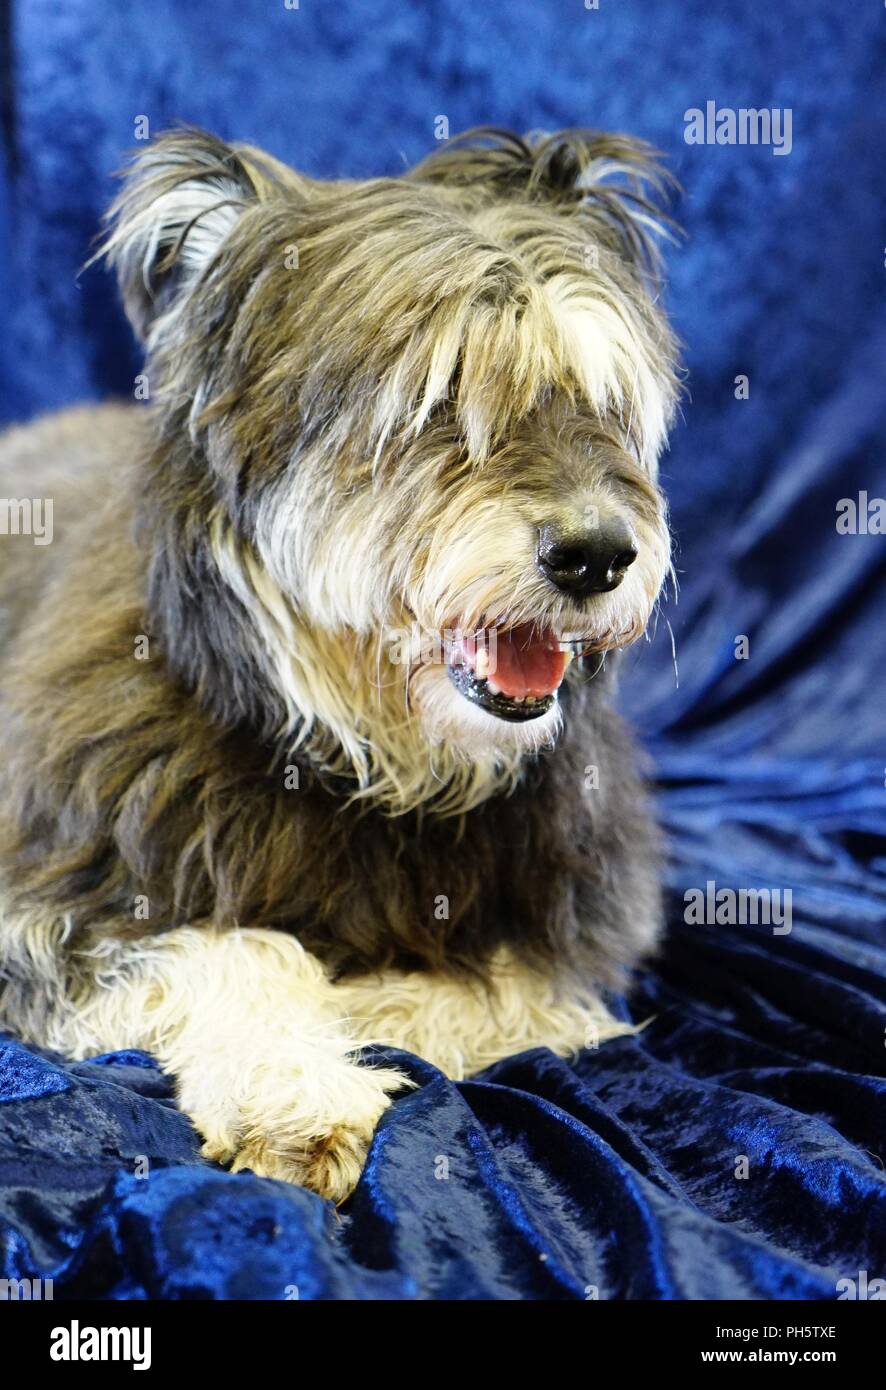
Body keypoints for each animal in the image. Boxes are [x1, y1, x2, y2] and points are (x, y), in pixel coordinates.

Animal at [0, 125, 675, 1200]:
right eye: (438, 395)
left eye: (598, 399)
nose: (599, 554)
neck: (356, 753)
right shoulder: (52, 904)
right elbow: (238, 956)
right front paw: (297, 1089)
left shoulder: (562, 933)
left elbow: (488, 994)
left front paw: (362, 1007)